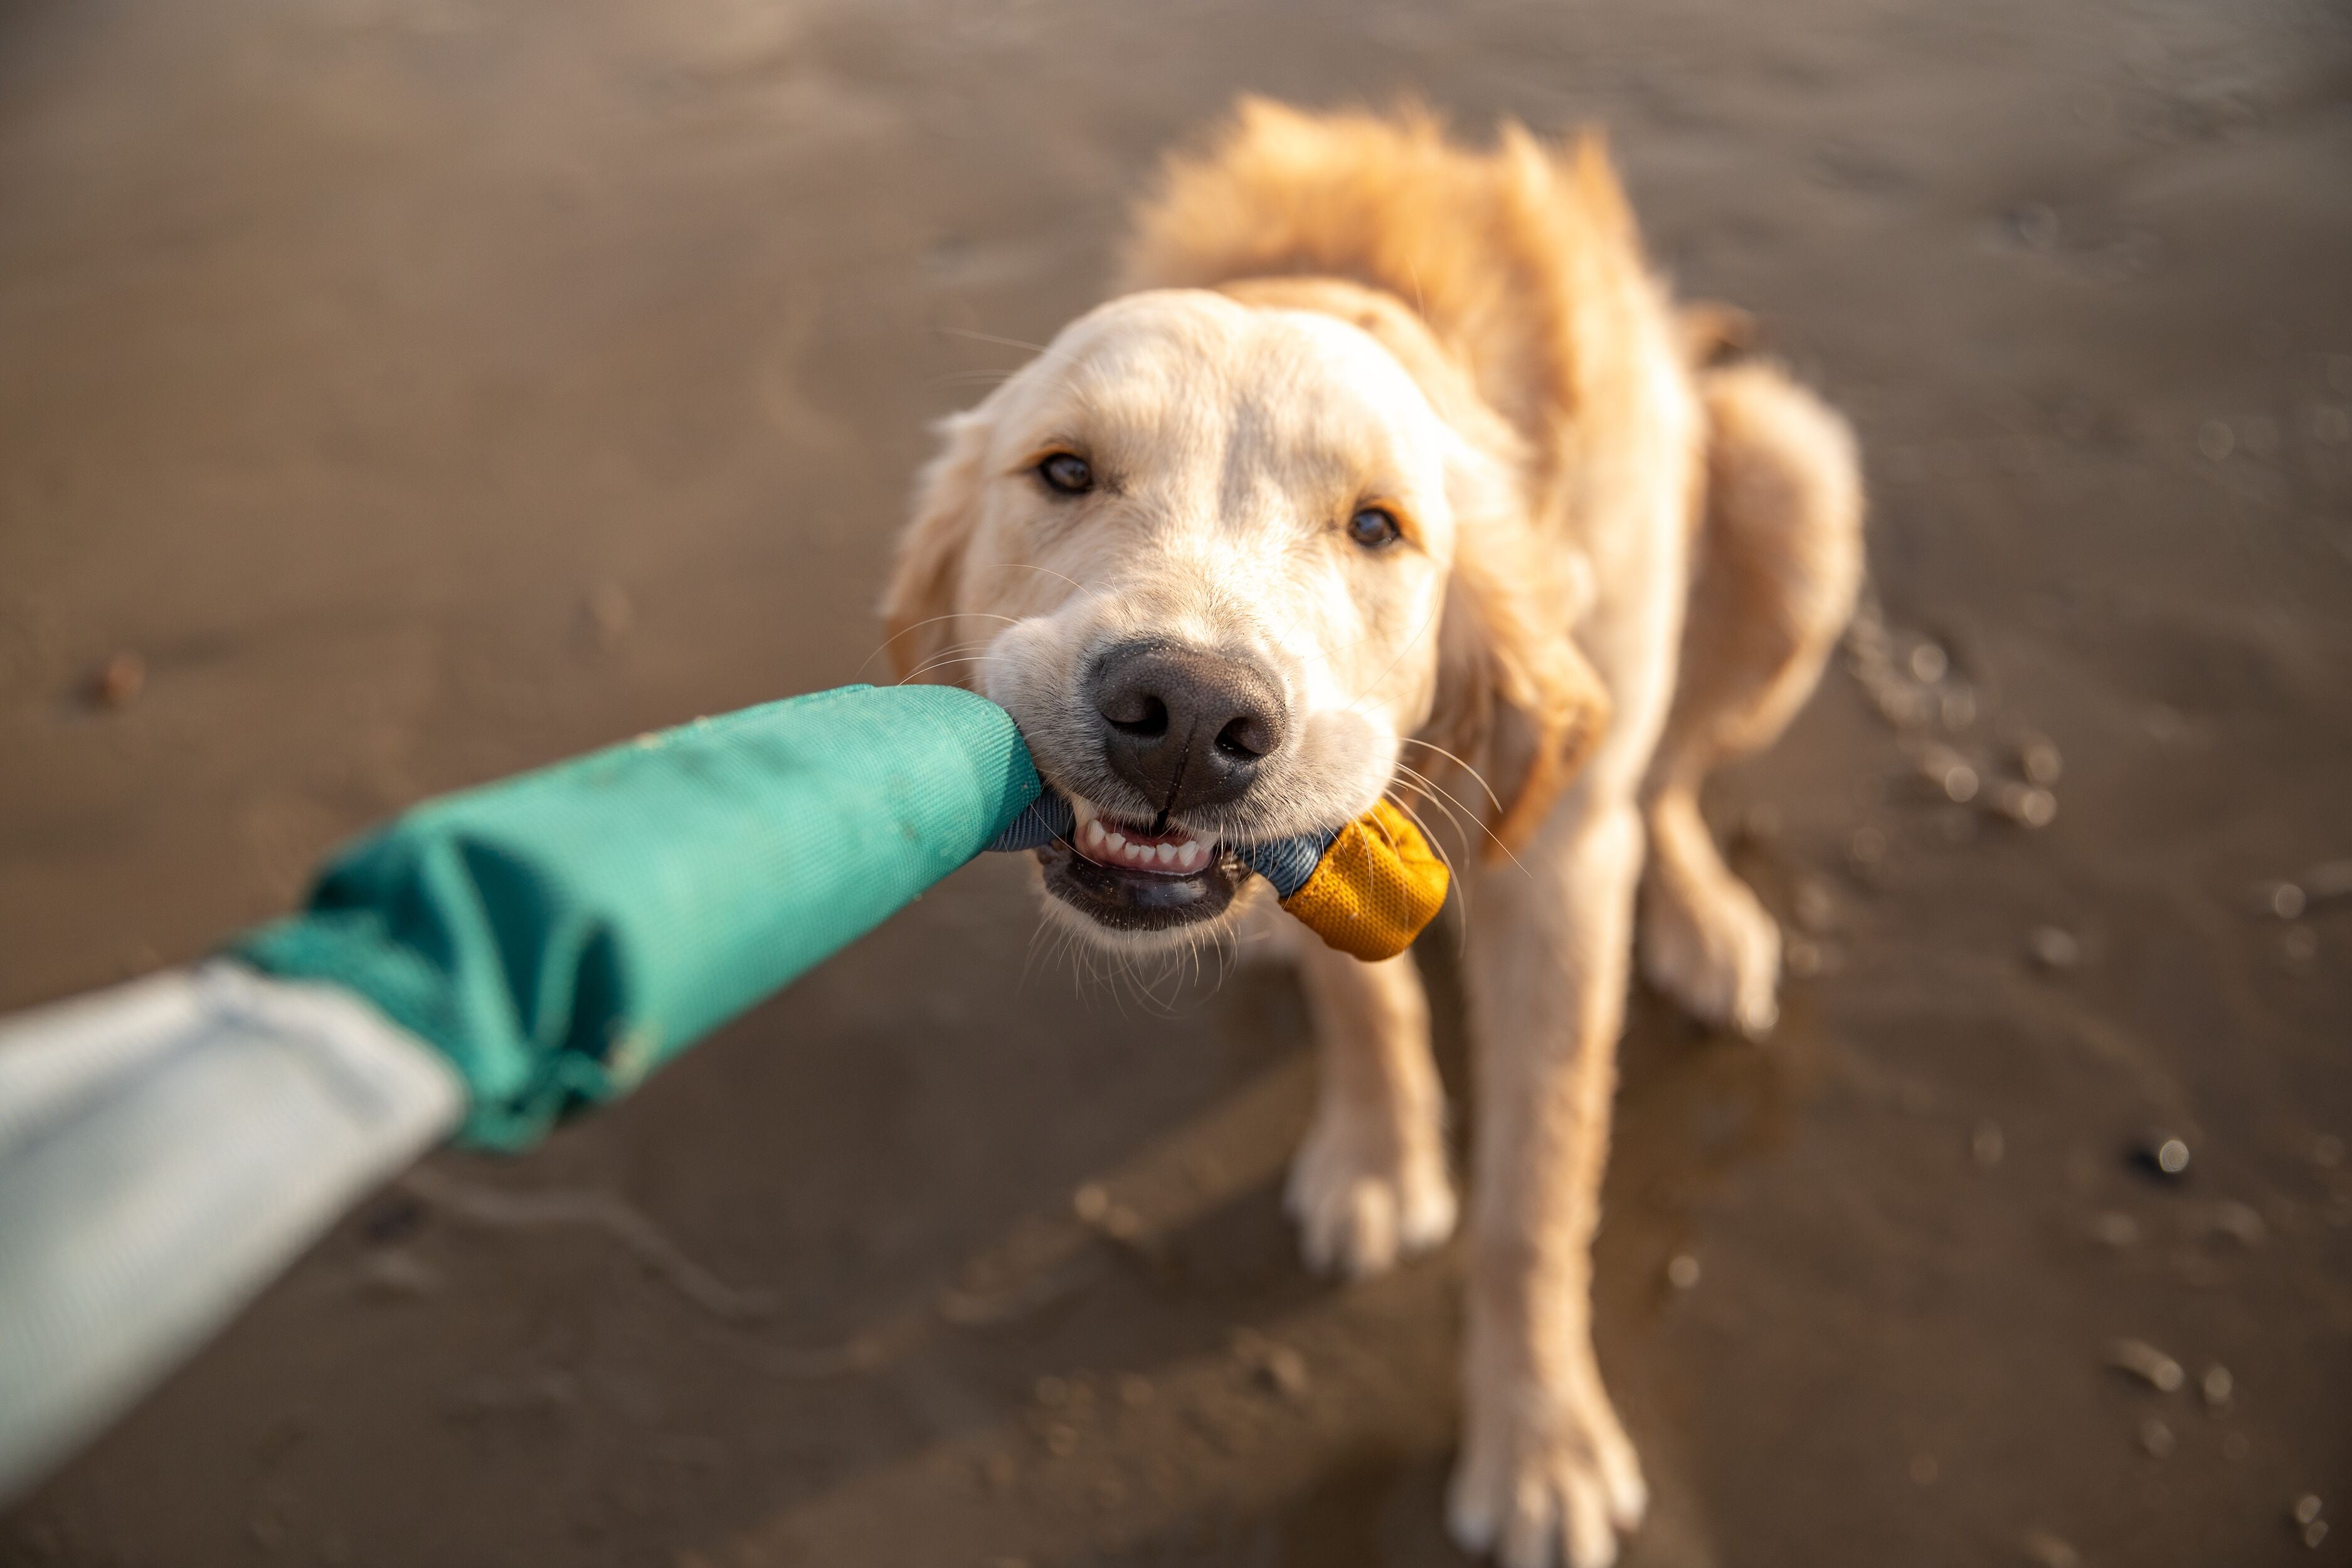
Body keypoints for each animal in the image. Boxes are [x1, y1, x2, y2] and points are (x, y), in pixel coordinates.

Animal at [879, 101, 1853, 1568]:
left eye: (1378, 527)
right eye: (1065, 471)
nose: (1188, 714)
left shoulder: (1562, 870)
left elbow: (1535, 1192)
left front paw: (1540, 1438)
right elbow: (1364, 1000)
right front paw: (1383, 1154)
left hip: (1793, 480)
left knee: (1671, 776)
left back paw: (1702, 919)